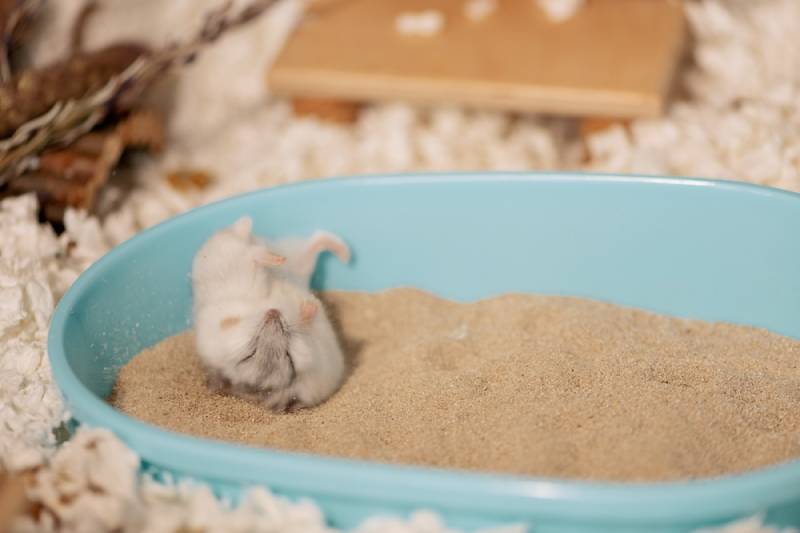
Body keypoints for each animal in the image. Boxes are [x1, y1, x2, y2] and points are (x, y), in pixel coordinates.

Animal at [191, 216, 350, 412]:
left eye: (289, 356)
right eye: (250, 354)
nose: (274, 312)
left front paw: (306, 304)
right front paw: (309, 305)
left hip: (297, 260)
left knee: (313, 242)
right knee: (252, 254)